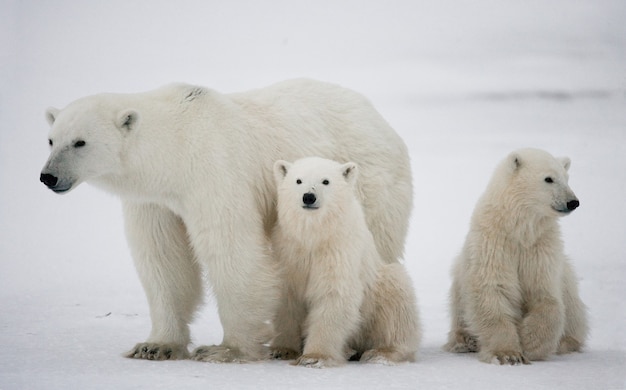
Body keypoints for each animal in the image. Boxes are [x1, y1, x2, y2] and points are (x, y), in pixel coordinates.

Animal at [270, 157, 420, 368]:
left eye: (326, 181)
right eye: (298, 180)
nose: (308, 197)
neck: (315, 236)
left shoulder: (339, 251)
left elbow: (334, 295)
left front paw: (314, 357)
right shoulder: (288, 251)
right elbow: (287, 299)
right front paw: (282, 349)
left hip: (379, 289)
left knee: (397, 308)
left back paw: (381, 353)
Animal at [444, 148, 584, 364]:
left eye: (566, 178)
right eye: (548, 179)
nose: (573, 202)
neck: (520, 231)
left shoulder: (540, 248)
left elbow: (546, 297)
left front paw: (529, 342)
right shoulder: (494, 244)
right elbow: (493, 291)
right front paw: (507, 354)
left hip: (567, 278)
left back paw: (566, 342)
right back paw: (465, 341)